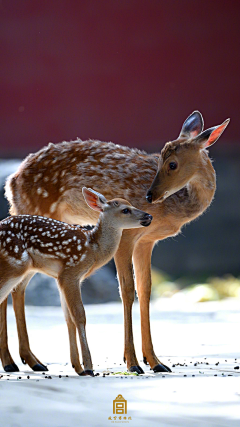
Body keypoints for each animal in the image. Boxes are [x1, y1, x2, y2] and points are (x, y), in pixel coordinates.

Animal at [2, 111, 231, 374]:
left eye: (172, 163)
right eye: (161, 161)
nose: (149, 196)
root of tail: (11, 182)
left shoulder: (147, 241)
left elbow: (145, 289)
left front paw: (155, 361)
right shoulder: (127, 238)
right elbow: (127, 291)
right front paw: (133, 362)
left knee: (17, 287)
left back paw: (29, 360)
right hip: (34, 214)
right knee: (15, 287)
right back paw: (17, 361)